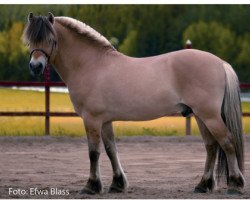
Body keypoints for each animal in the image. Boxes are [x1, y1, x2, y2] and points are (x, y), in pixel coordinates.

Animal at [22, 12, 245, 194]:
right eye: (29, 40)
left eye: (50, 39)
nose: (35, 66)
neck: (91, 65)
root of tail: (220, 63)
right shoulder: (105, 121)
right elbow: (111, 150)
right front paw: (117, 184)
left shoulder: (91, 119)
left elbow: (94, 152)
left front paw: (91, 186)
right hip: (200, 116)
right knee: (211, 146)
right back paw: (203, 185)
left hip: (209, 115)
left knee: (227, 142)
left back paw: (235, 184)